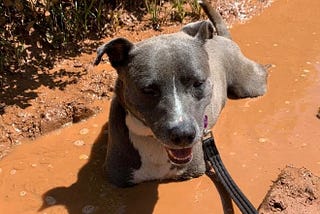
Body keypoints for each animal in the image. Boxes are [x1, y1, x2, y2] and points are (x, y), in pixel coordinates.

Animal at [93, 0, 268, 186]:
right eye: (148, 90)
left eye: (198, 83)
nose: (183, 135)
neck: (152, 141)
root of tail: (222, 38)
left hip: (249, 85)